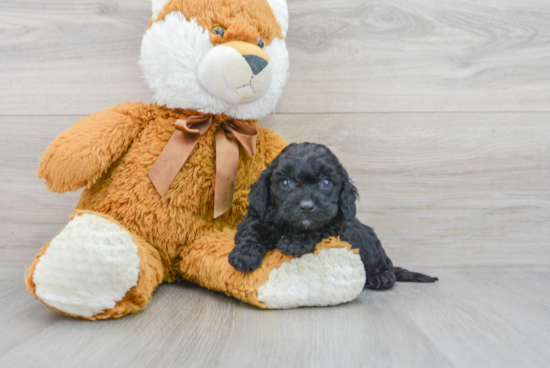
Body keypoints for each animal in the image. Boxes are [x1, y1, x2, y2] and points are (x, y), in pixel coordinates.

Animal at [230, 142, 440, 288]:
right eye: (286, 183)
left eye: (326, 183)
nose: (306, 206)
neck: (292, 225)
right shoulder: (259, 214)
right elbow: (251, 230)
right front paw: (244, 255)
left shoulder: (338, 227)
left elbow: (321, 229)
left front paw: (294, 242)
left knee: (388, 269)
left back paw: (381, 277)